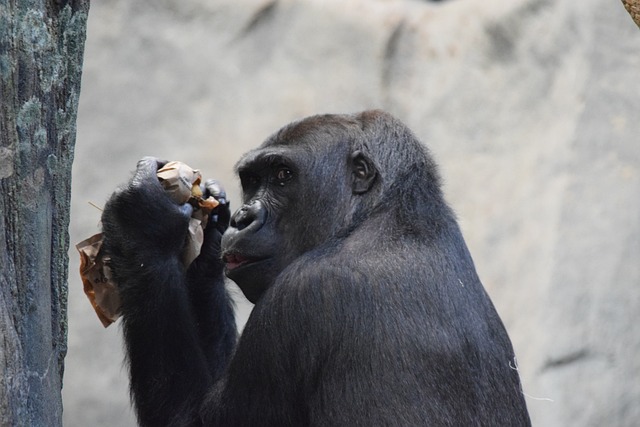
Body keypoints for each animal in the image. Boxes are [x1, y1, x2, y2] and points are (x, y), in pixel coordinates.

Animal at [101, 111, 528, 427]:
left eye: (283, 176)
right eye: (251, 180)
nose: (242, 218)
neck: (379, 213)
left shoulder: (297, 297)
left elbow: (187, 420)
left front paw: (145, 223)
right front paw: (206, 240)